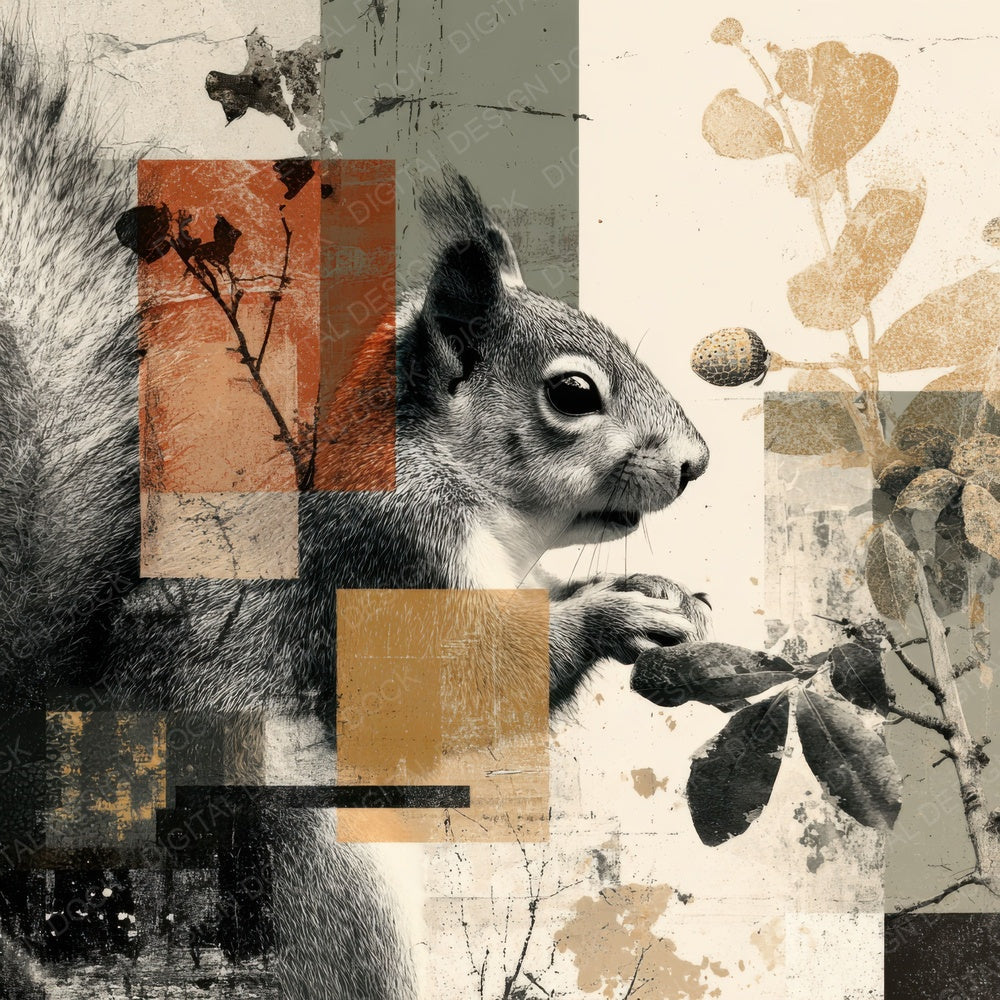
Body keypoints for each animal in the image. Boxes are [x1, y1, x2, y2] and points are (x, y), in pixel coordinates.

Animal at [0, 31, 710, 1000]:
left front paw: (651, 586)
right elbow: (460, 686)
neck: (477, 499)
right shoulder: (387, 555)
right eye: (573, 394)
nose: (696, 463)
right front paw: (612, 613)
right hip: (305, 861)